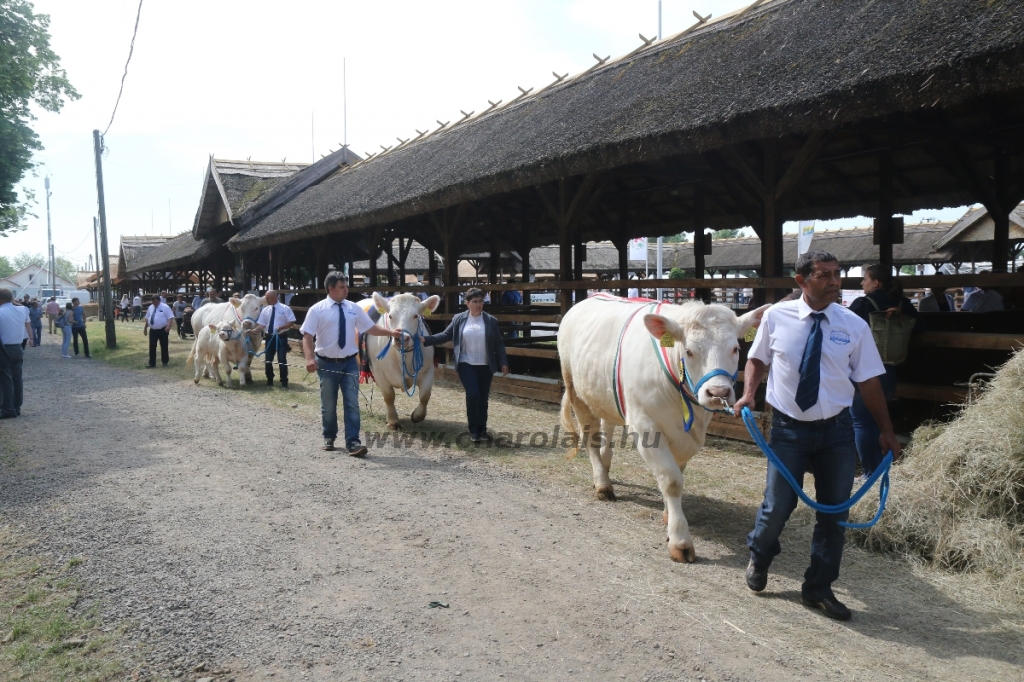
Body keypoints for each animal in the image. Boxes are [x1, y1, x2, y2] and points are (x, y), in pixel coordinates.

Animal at [360, 288, 440, 428]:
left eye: (416, 316)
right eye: (390, 316)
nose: (401, 338)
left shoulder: (428, 370)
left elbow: (425, 396)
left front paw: (416, 416)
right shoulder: (379, 372)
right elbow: (389, 396)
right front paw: (393, 420)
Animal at [561, 294, 770, 561]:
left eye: (735, 348)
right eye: (689, 351)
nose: (718, 393)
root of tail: (594, 297)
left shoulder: (689, 435)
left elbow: (676, 473)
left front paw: (669, 515)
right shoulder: (645, 426)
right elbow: (671, 480)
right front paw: (680, 539)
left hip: (605, 394)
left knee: (607, 426)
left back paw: (606, 466)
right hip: (576, 391)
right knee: (590, 438)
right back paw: (602, 483)